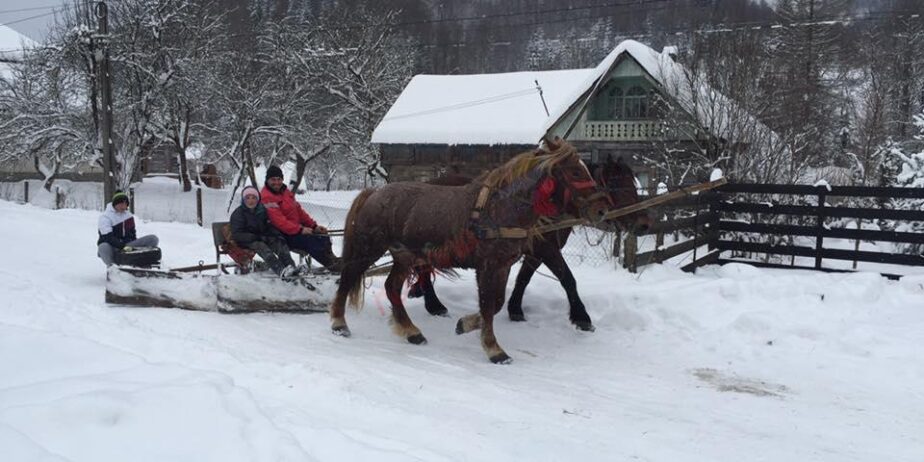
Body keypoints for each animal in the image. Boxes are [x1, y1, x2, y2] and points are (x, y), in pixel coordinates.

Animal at [328, 139, 608, 362]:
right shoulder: (488, 266)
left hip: (404, 256)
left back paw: (411, 331)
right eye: (575, 172)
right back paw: (339, 323)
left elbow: (496, 304)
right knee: (348, 277)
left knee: (391, 287)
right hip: (369, 248)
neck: (501, 208)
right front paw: (494, 349)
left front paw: (466, 324)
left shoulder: (503, 264)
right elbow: (488, 304)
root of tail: (375, 192)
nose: (601, 210)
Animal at [412, 155, 648, 332]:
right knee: (422, 267)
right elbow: (567, 279)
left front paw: (515, 308)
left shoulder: (536, 251)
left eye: (633, 181)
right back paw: (434, 305)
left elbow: (524, 278)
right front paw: (581, 317)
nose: (642, 223)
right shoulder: (547, 249)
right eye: (616, 182)